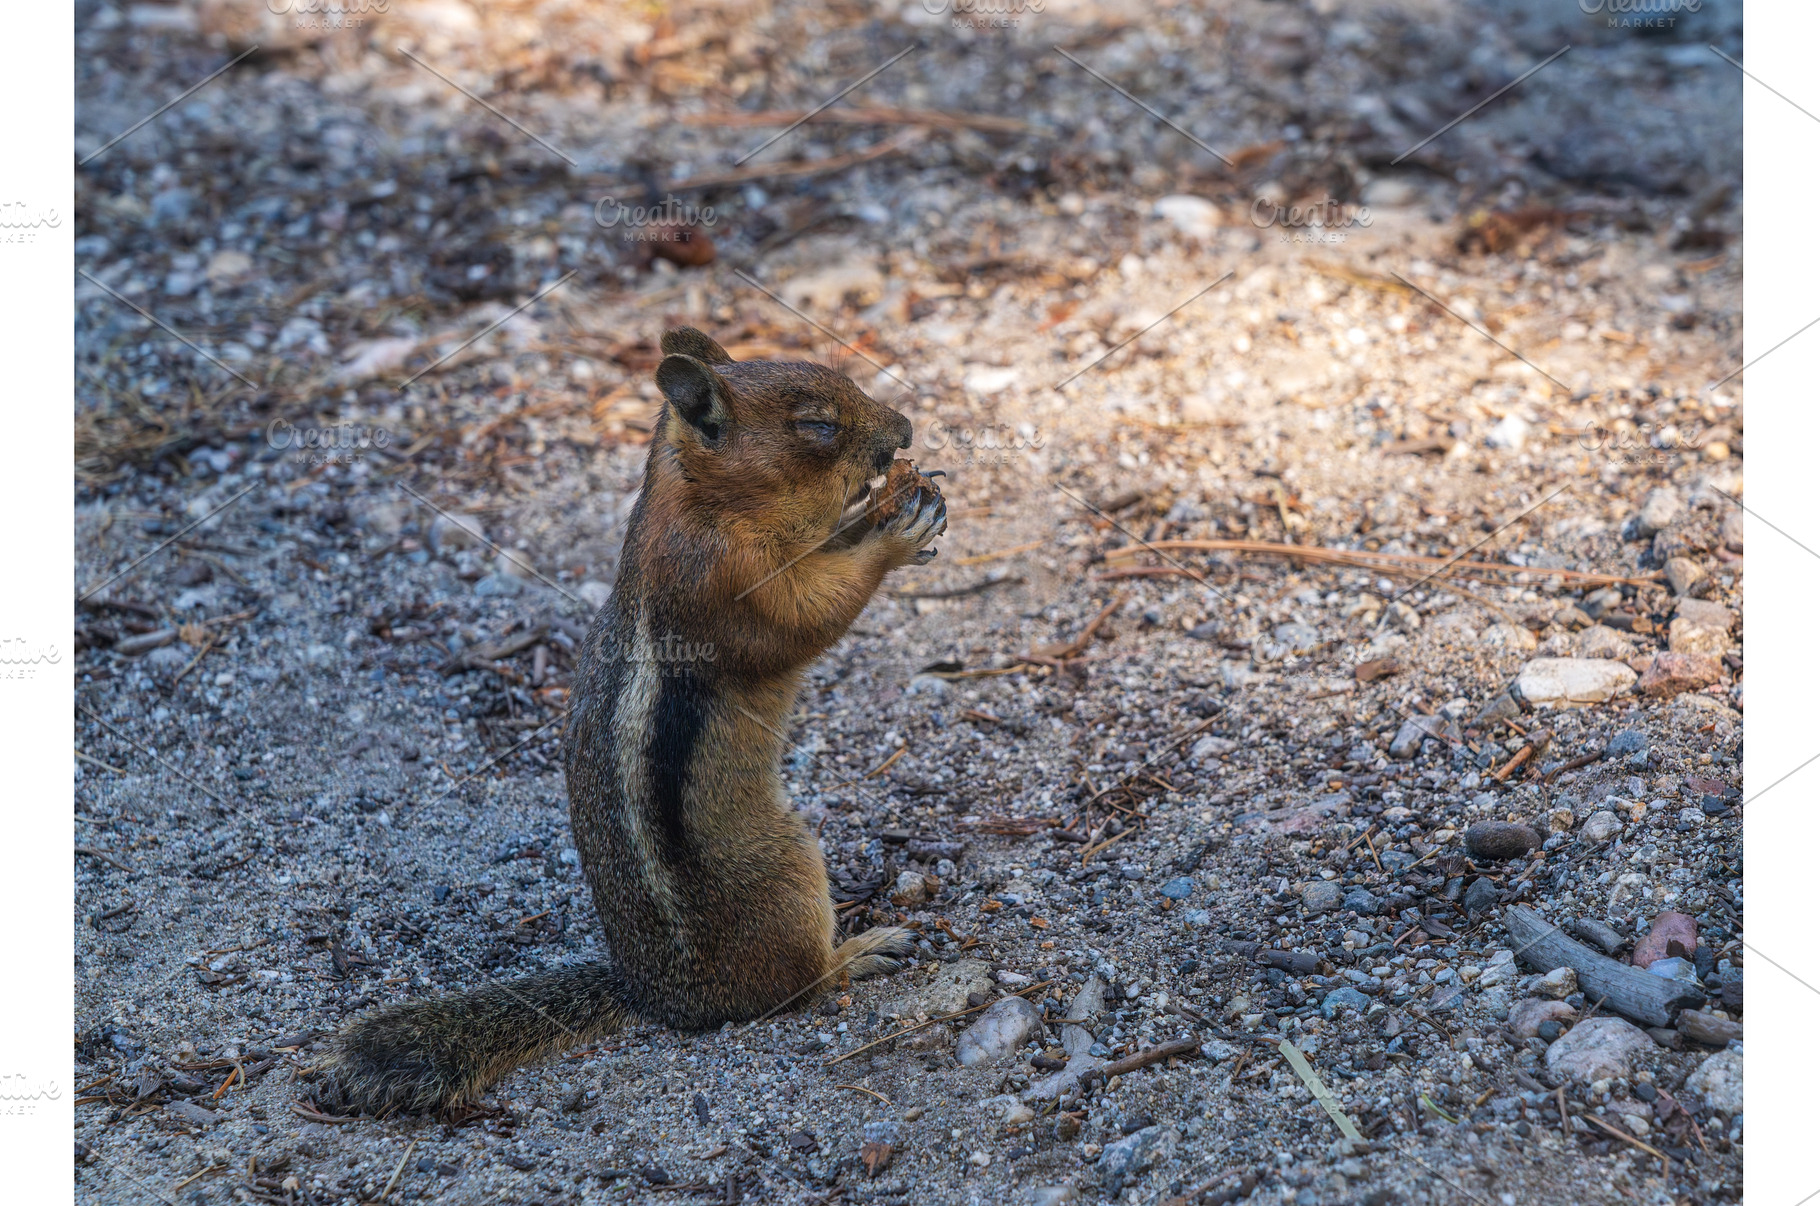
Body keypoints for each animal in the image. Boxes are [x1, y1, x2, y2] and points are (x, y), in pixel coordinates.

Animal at [320, 328, 947, 1114]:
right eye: (817, 425)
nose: (906, 431)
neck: (702, 501)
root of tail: (657, 996)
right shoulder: (729, 576)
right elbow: (806, 616)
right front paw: (896, 533)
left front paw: (897, 502)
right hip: (787, 875)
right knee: (792, 990)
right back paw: (859, 953)